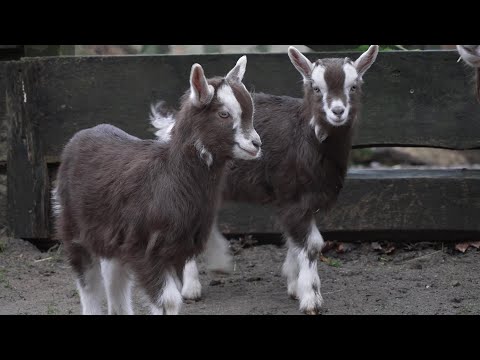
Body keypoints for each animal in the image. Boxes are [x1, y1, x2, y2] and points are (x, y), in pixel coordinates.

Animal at [53, 56, 262, 316]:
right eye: (224, 114)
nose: (256, 144)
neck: (170, 175)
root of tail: (80, 137)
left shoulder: (173, 249)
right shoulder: (146, 249)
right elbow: (168, 300)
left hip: (112, 235)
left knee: (114, 278)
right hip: (73, 226)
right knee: (89, 284)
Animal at [150, 45, 378, 316]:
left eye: (353, 86)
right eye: (315, 87)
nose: (338, 111)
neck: (306, 138)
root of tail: (172, 124)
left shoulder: (303, 199)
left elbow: (296, 240)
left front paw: (294, 283)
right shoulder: (293, 197)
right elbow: (312, 244)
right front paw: (310, 297)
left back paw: (219, 261)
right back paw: (192, 286)